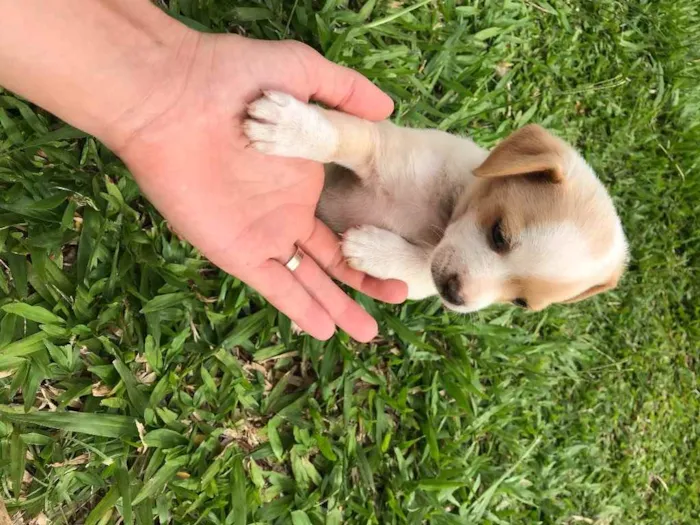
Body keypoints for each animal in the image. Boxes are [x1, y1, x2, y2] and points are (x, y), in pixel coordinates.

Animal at [242, 91, 628, 312]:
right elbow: (341, 137)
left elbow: (420, 265)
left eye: (520, 304)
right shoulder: (380, 145)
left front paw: (373, 250)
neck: (444, 212)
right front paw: (292, 128)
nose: (455, 296)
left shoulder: (420, 283)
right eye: (499, 235)